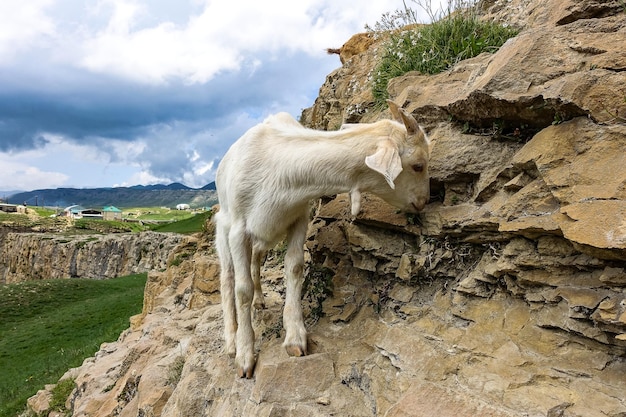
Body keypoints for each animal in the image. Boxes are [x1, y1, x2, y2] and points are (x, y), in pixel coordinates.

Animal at [214, 101, 428, 376]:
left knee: (256, 261)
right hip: (224, 231)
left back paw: (260, 301)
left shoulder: (298, 217)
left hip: (264, 237)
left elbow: (294, 266)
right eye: (418, 165)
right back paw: (231, 340)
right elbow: (242, 290)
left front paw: (295, 337)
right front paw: (245, 356)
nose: (423, 202)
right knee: (228, 279)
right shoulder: (239, 229)